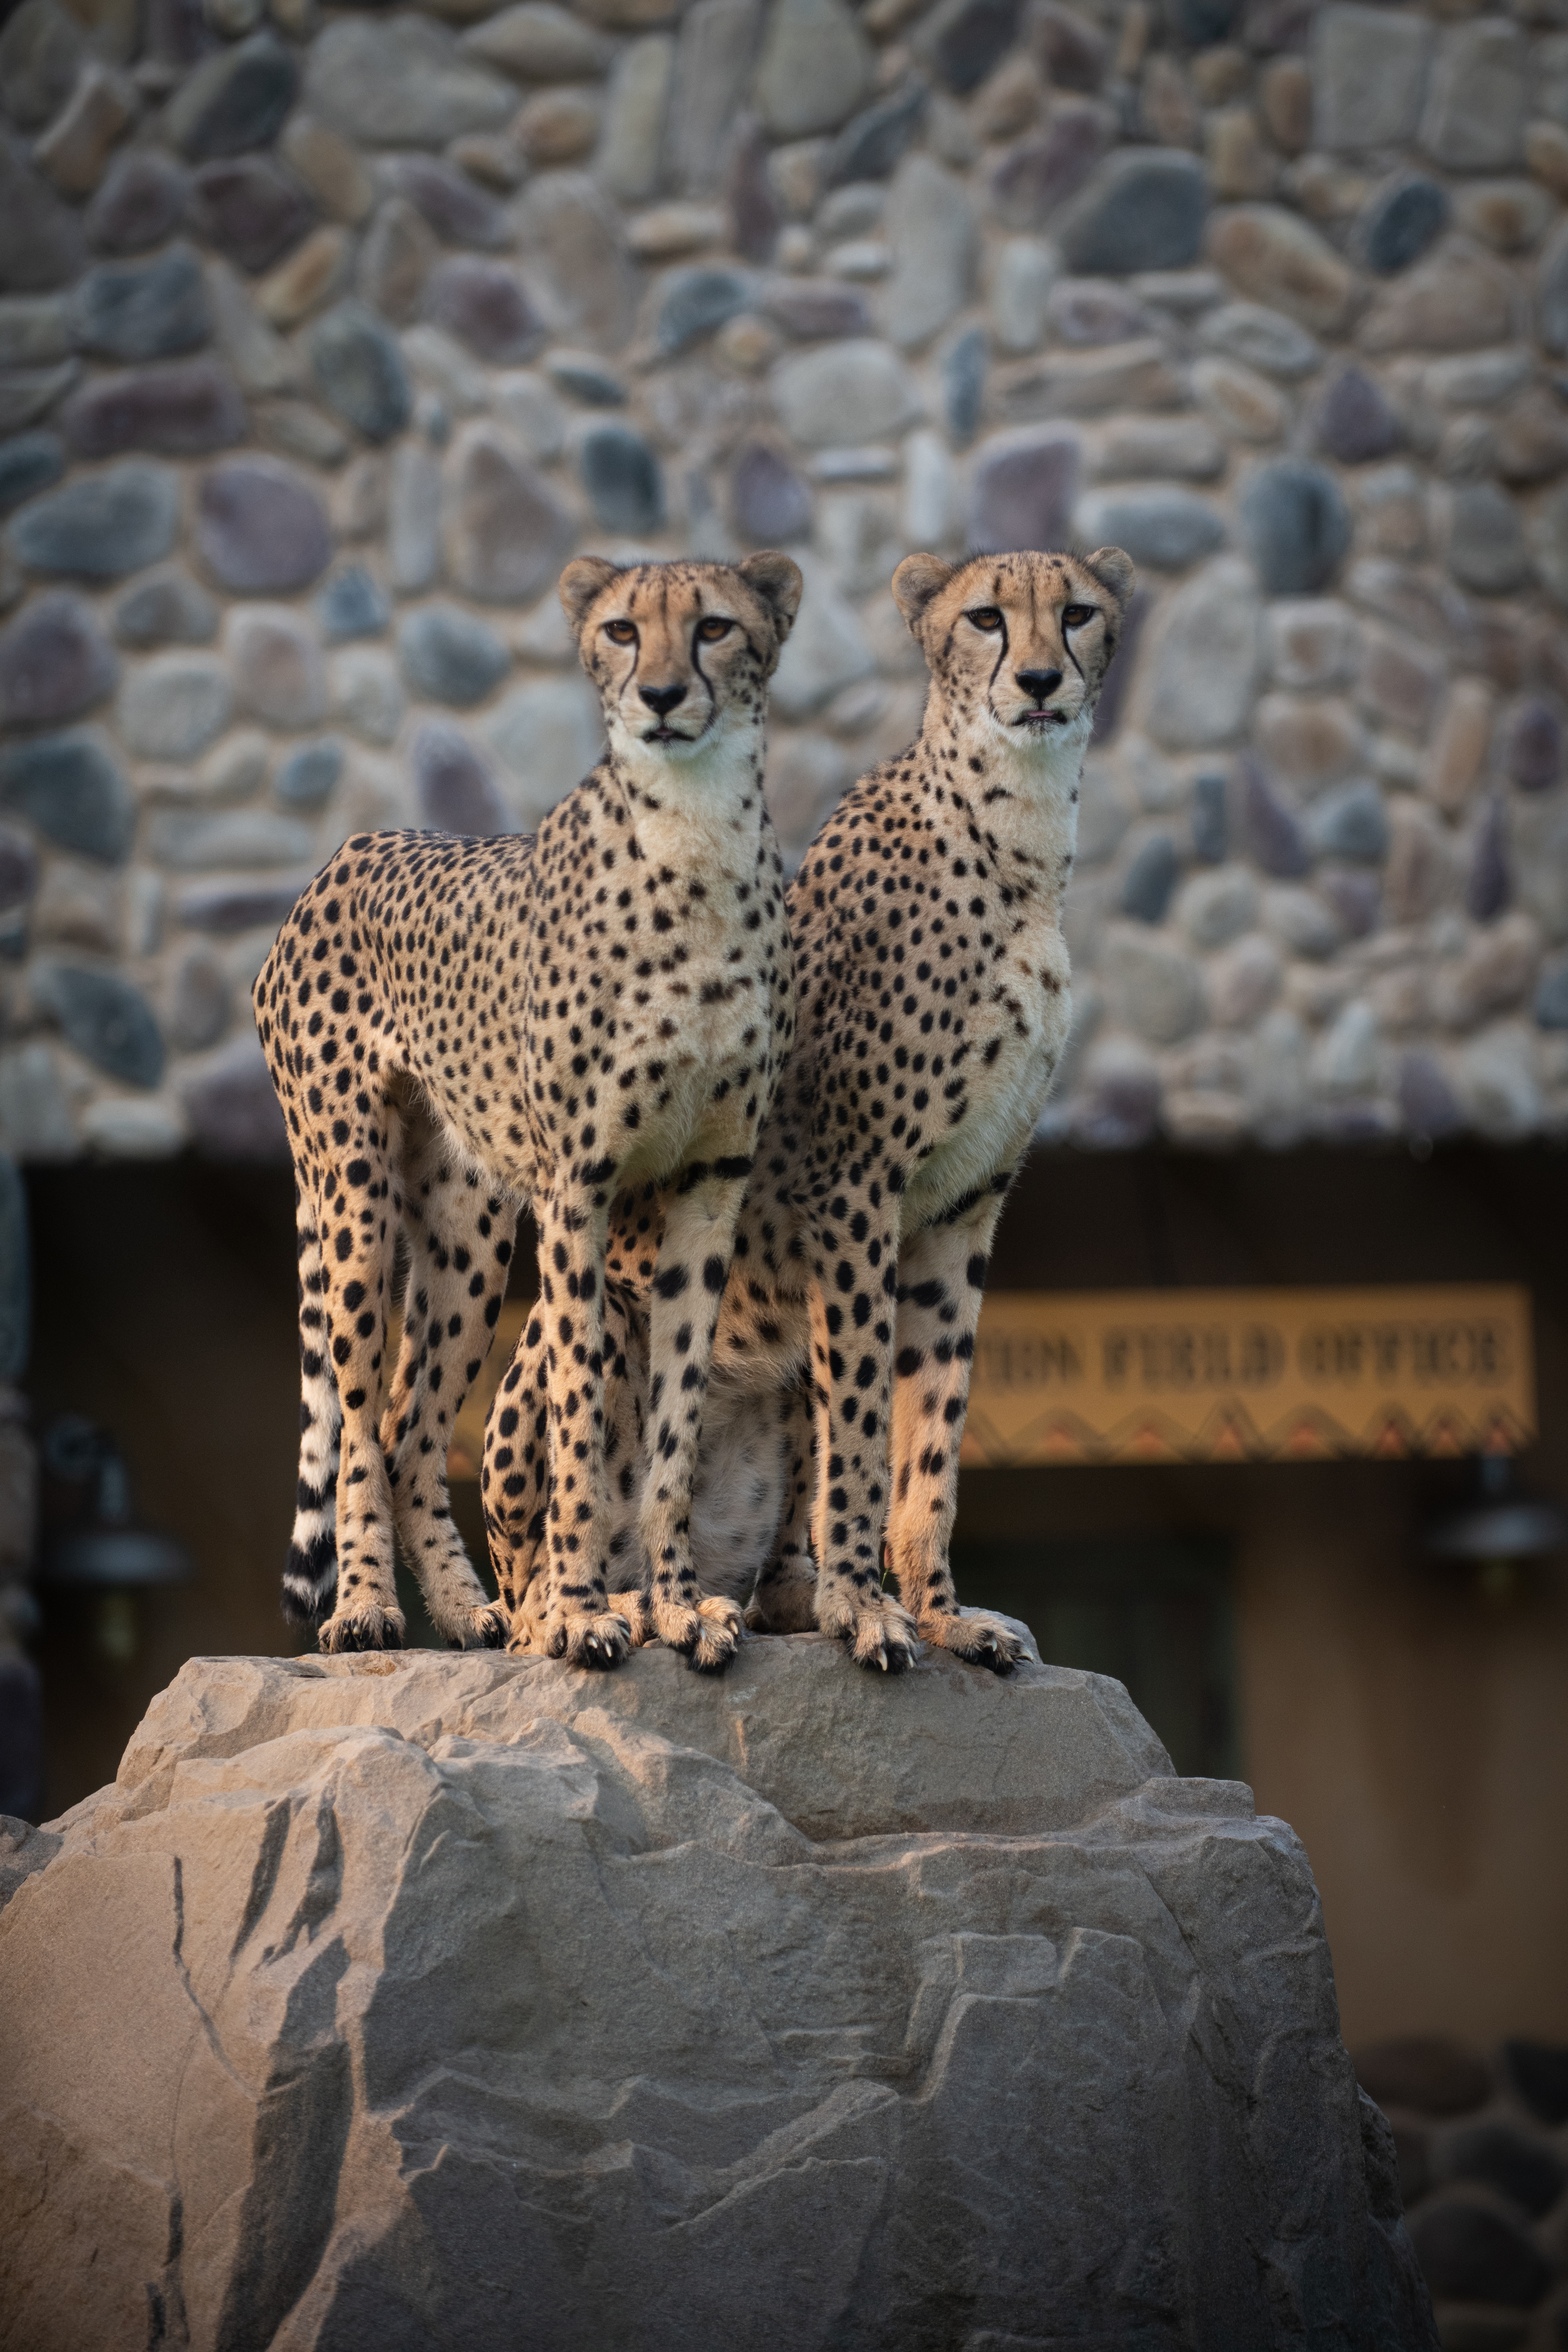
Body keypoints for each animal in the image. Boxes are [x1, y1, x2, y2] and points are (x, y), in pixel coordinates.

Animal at [252, 550, 802, 1666]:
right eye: (623, 630)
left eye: (715, 627)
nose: (662, 695)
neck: (698, 833)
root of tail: (344, 852)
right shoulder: (579, 1189)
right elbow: (582, 1415)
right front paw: (588, 1615)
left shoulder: (708, 1187)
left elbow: (676, 1426)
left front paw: (680, 1605)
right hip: (354, 1195)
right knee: (361, 1420)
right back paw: (368, 1608)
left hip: (468, 1234)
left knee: (411, 1431)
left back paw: (471, 1613)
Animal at [479, 543, 1134, 1673]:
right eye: (987, 618)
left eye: (1078, 612)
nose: (1041, 680)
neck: (1018, 839)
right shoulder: (859, 1184)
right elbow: (869, 1421)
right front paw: (869, 1610)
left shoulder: (963, 1207)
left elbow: (931, 1432)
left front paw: (941, 1613)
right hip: (596, 1334)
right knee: (542, 1575)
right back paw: (604, 1608)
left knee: (764, 1564)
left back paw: (760, 1598)